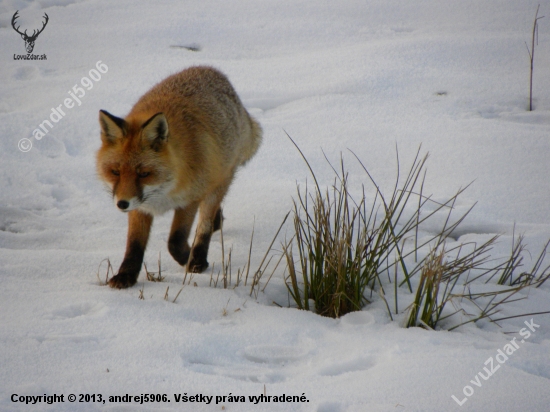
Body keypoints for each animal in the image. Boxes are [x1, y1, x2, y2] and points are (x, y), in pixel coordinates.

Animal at [96, 66, 264, 288]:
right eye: (115, 172)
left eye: (144, 174)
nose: (122, 204)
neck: (163, 190)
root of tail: (211, 70)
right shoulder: (140, 206)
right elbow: (134, 245)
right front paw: (126, 275)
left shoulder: (189, 199)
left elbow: (175, 241)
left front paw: (190, 259)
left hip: (216, 185)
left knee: (205, 224)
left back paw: (198, 257)